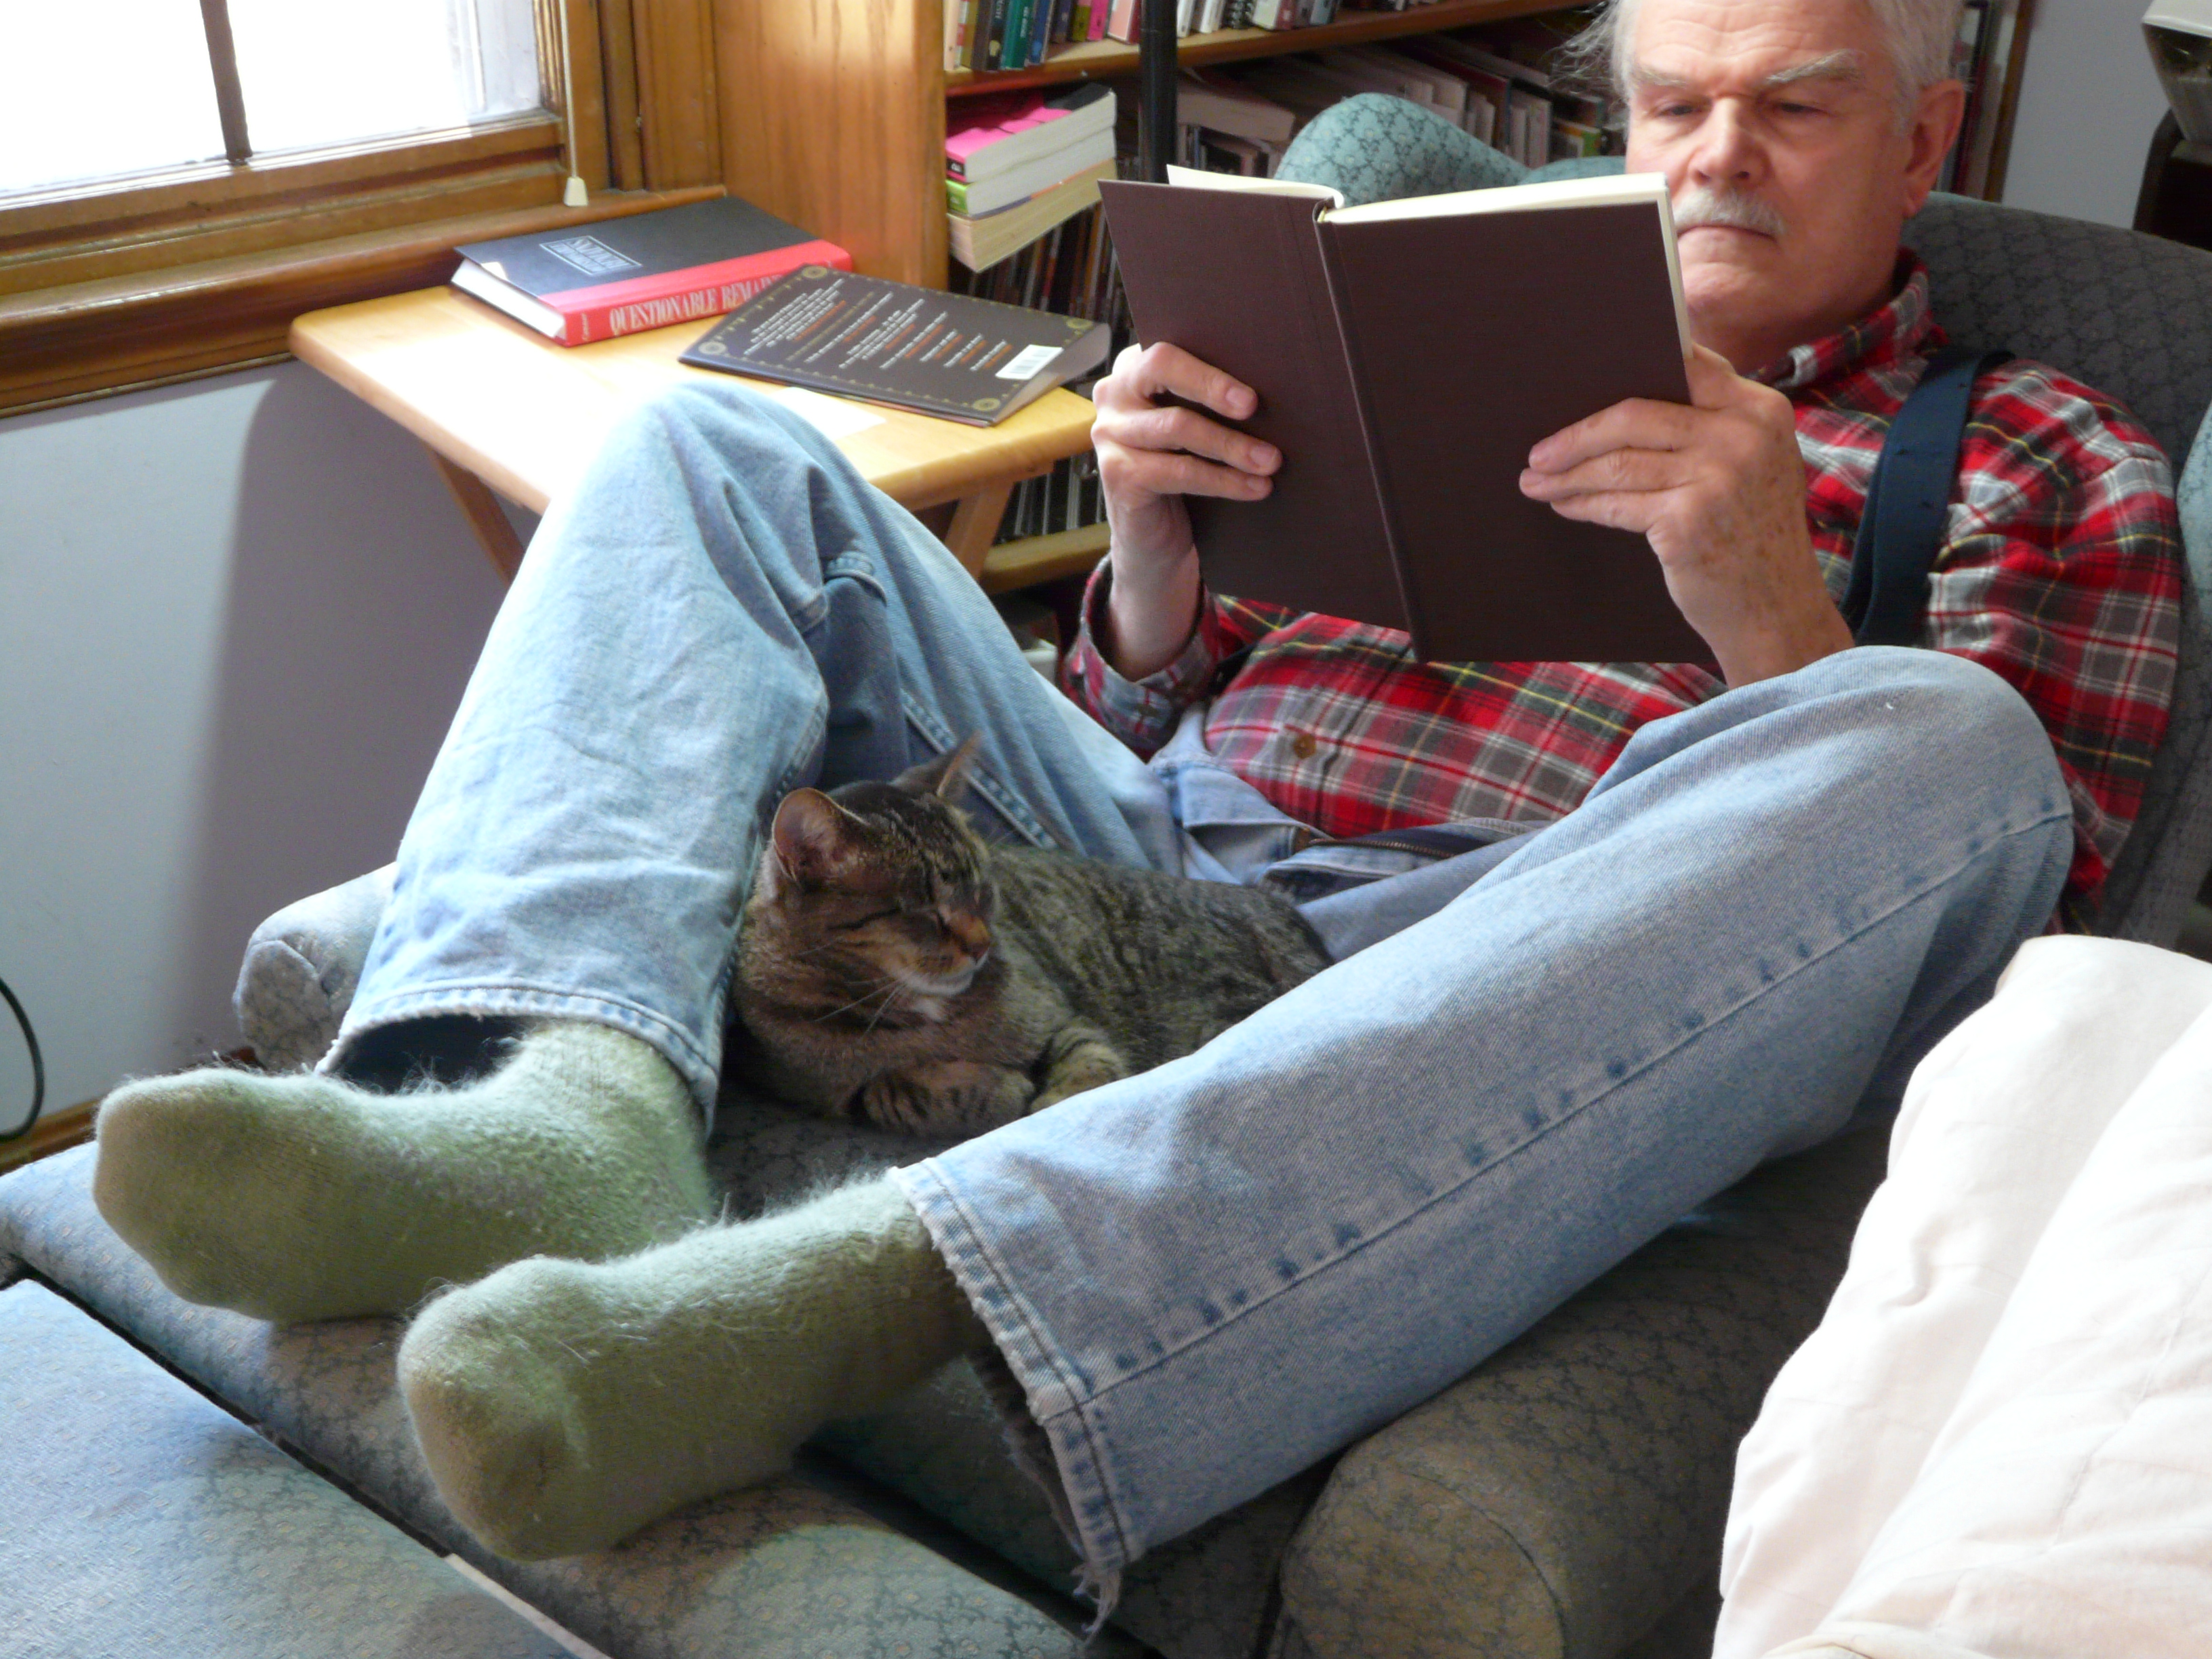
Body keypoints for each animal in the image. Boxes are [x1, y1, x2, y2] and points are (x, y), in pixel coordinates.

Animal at [729, 740, 1332, 1136]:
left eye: (981, 890)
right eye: (923, 909)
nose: (981, 945)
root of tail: (1287, 916)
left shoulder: (1065, 1018)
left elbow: (1085, 1062)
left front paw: (1049, 1104)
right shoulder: (791, 1077)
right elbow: (887, 1091)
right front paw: (997, 1090)